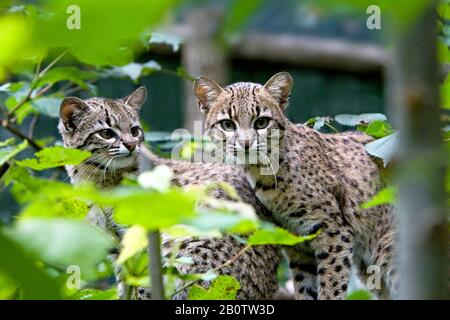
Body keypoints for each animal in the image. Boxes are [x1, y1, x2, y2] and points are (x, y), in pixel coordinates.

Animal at [56, 86, 282, 298]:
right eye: (106, 133)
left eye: (135, 130)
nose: (131, 144)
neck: (95, 181)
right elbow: (126, 282)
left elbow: (140, 284)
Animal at [193, 72, 398, 300]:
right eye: (228, 125)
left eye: (262, 122)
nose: (246, 145)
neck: (262, 172)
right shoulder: (298, 244)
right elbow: (306, 288)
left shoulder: (335, 232)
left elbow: (331, 285)